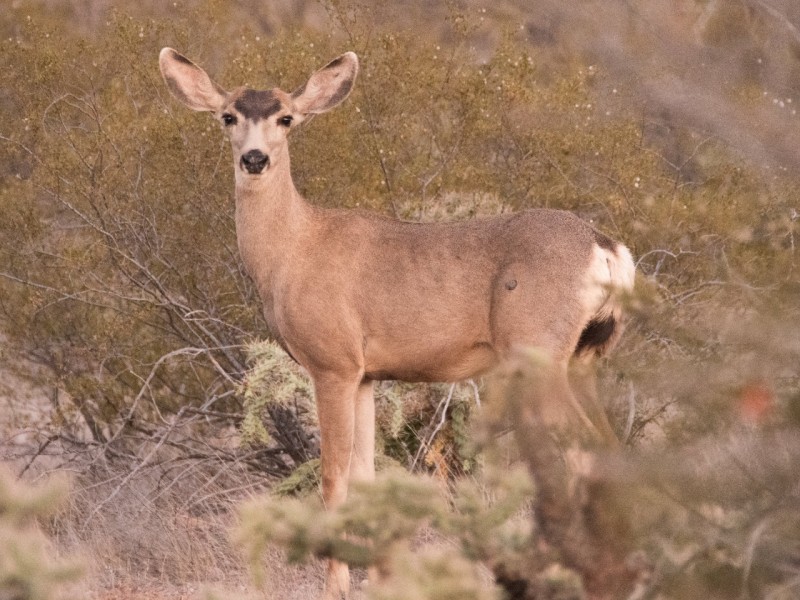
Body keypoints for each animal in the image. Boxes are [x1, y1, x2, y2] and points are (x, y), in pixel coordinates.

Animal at [161, 48, 636, 600]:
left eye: (286, 118)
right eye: (227, 117)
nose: (254, 159)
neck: (293, 252)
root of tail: (605, 246)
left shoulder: (333, 361)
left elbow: (333, 477)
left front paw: (337, 585)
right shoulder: (367, 374)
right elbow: (367, 477)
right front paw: (380, 577)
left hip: (536, 348)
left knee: (583, 449)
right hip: (584, 357)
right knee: (608, 448)